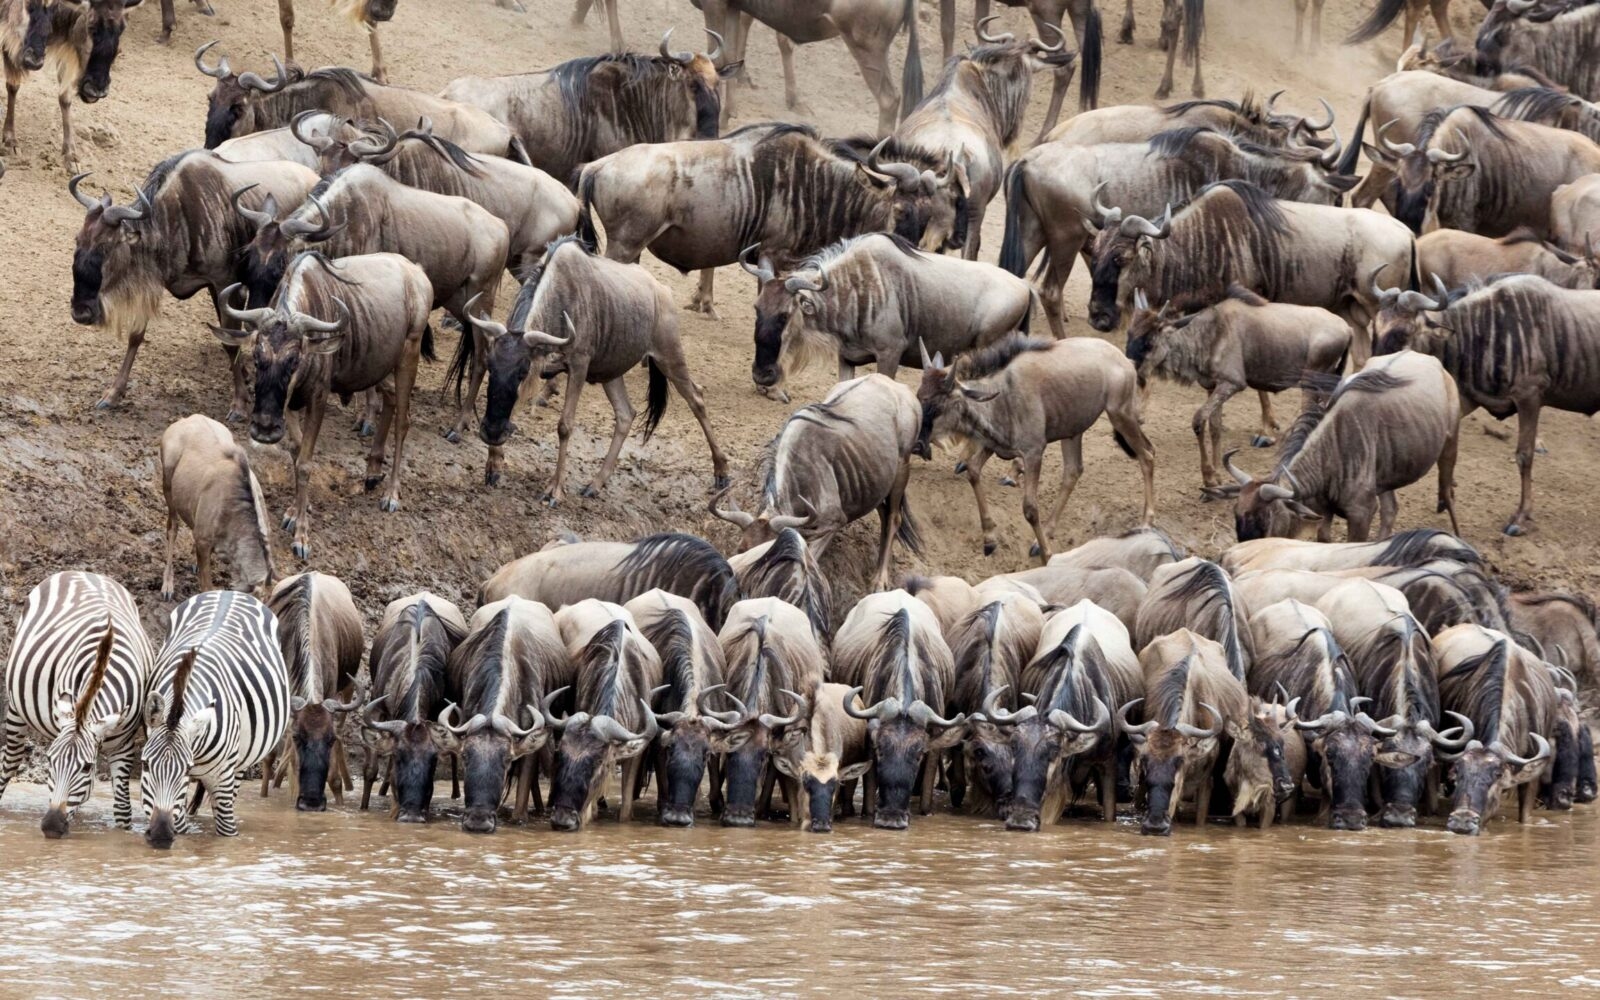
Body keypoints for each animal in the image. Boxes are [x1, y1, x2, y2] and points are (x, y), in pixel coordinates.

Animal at [1, 572, 155, 837]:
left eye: (87, 768)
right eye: (50, 760)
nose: (51, 826)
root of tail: (83, 573)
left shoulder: (124, 745)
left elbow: (122, 808)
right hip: (15, 706)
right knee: (10, 759)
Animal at [141, 590, 291, 848]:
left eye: (186, 769)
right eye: (145, 765)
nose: (160, 834)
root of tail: (229, 592)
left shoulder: (221, 778)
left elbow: (226, 828)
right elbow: (182, 824)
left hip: (240, 761)